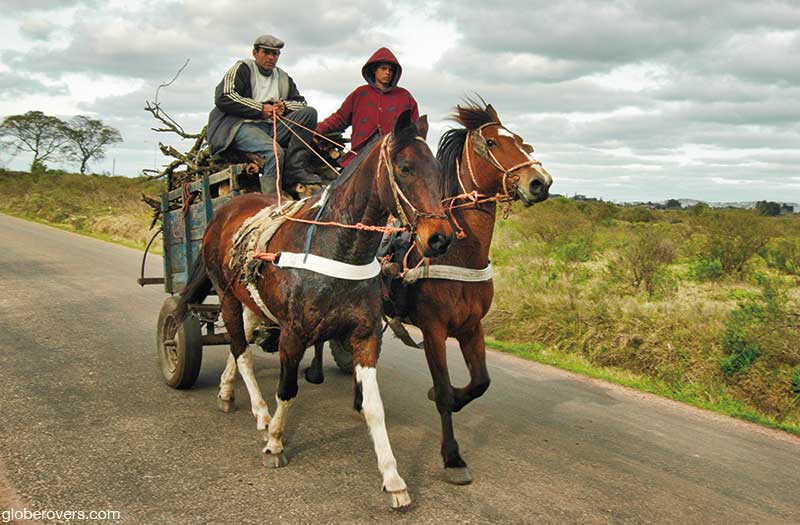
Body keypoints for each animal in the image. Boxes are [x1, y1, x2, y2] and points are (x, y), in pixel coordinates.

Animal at [174, 110, 453, 510]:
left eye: (438, 170)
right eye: (405, 168)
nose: (441, 238)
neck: (336, 247)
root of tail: (224, 211)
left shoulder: (366, 336)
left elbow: (374, 407)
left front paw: (393, 478)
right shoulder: (293, 333)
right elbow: (287, 390)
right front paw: (275, 444)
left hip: (251, 302)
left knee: (240, 340)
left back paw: (228, 391)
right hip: (226, 296)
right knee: (241, 350)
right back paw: (259, 412)